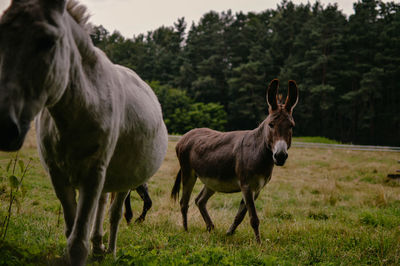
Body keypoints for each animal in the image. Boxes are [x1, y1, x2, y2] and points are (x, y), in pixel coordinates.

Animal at [0, 0, 168, 264]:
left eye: (48, 41)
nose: (5, 127)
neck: (80, 106)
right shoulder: (58, 175)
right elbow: (72, 232)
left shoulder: (92, 173)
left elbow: (78, 242)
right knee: (103, 202)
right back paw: (98, 245)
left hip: (126, 179)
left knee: (115, 213)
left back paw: (110, 251)